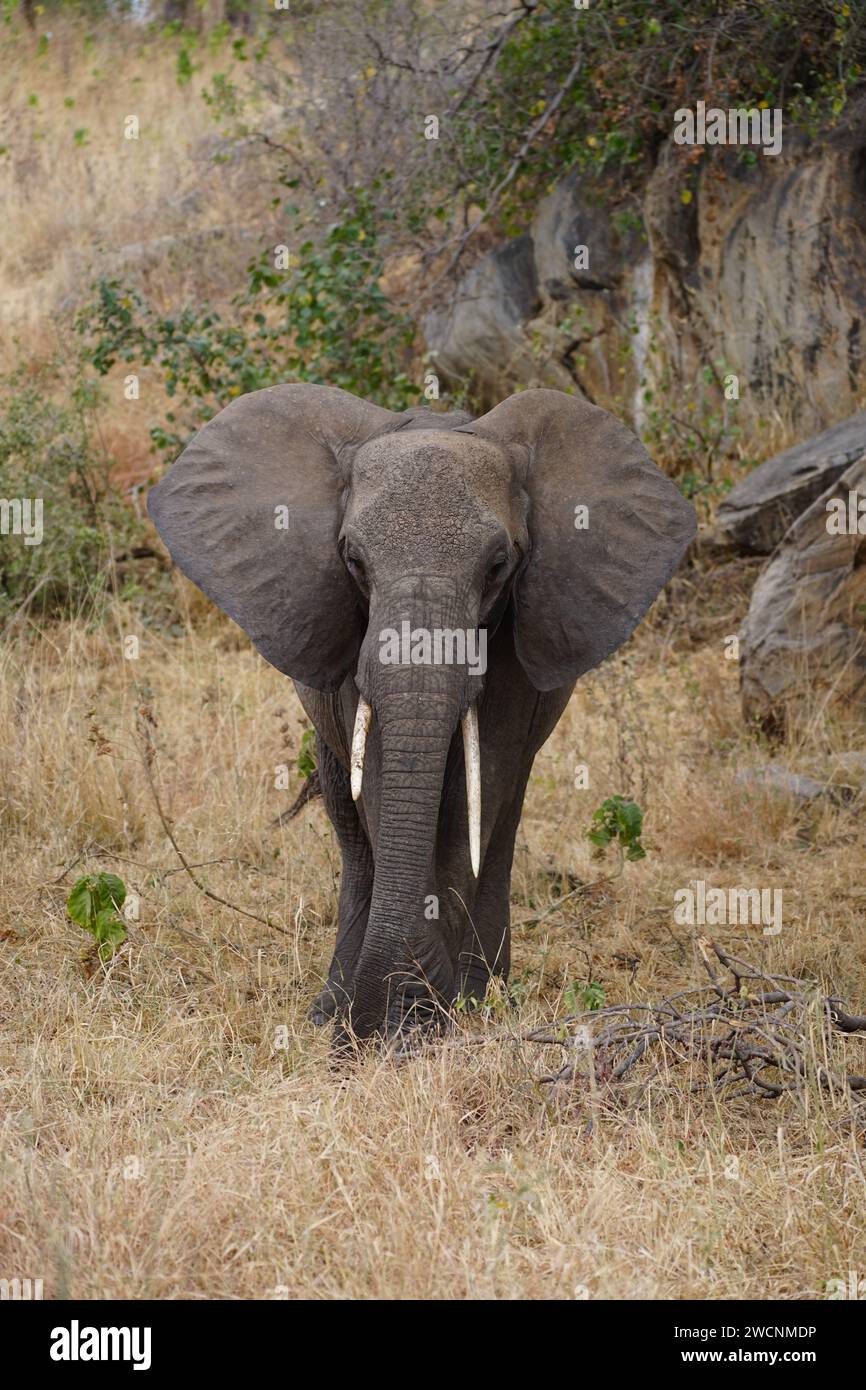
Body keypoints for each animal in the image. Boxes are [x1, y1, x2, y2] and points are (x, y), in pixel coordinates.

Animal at [145, 380, 695, 1045]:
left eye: (499, 565)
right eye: (353, 560)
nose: (362, 1033)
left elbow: (473, 794)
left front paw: (431, 1015)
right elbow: (382, 784)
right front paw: (395, 1018)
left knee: (502, 815)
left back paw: (483, 996)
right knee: (349, 821)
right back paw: (335, 1005)